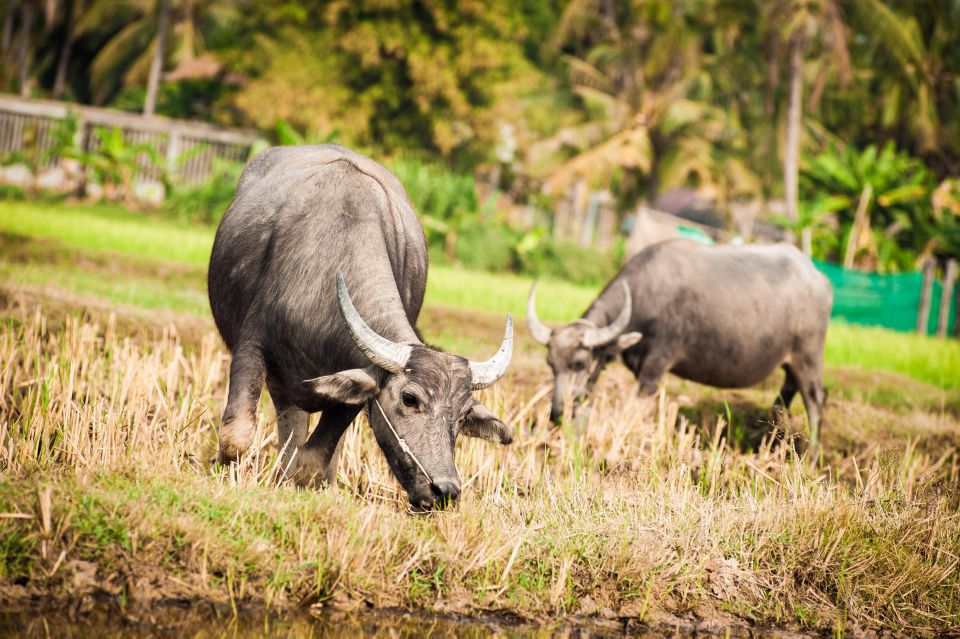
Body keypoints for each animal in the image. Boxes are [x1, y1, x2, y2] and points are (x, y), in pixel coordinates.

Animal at [207, 144, 512, 510]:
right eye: (410, 399)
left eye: (464, 414)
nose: (444, 491)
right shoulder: (252, 345)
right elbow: (236, 434)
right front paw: (224, 476)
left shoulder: (351, 391)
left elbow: (313, 460)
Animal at [524, 238, 832, 452]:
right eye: (551, 364)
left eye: (580, 363)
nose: (556, 413)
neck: (646, 296)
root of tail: (819, 279)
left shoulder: (655, 366)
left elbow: (637, 407)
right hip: (789, 363)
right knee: (782, 402)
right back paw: (773, 448)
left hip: (808, 356)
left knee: (815, 400)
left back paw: (810, 459)